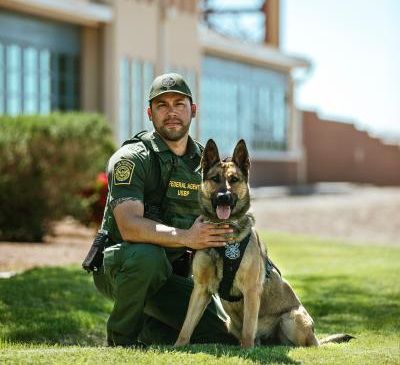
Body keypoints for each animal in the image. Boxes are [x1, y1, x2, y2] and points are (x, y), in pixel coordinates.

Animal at [176, 139, 354, 346]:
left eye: (234, 180)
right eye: (215, 179)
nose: (223, 198)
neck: (224, 236)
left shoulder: (251, 290)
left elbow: (248, 330)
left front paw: (246, 350)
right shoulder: (201, 289)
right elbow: (186, 326)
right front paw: (178, 347)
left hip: (290, 318)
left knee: (305, 345)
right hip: (230, 323)